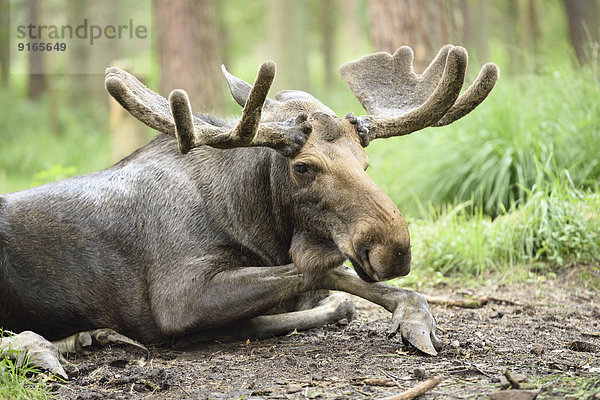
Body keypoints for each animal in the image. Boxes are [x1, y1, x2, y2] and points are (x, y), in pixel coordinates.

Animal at [0, 45, 496, 376]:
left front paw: (412, 316)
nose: (393, 249)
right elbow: (311, 268)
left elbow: (343, 284)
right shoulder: (178, 297)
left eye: (365, 162)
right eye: (302, 167)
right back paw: (44, 346)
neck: (254, 218)